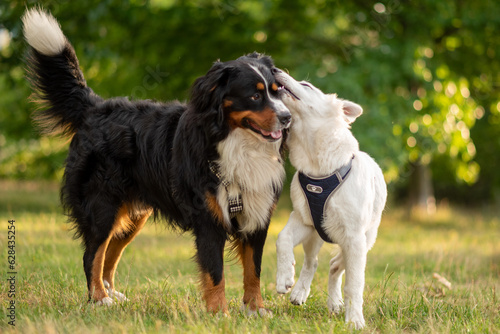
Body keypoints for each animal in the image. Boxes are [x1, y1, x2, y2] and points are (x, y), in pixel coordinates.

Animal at [22, 8, 290, 316]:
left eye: (277, 91)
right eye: (255, 96)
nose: (287, 118)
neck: (239, 145)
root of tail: (96, 108)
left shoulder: (257, 215)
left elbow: (253, 270)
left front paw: (255, 310)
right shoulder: (209, 218)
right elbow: (215, 273)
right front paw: (219, 313)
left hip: (133, 214)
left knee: (110, 253)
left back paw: (112, 294)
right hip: (102, 205)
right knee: (92, 254)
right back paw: (99, 298)